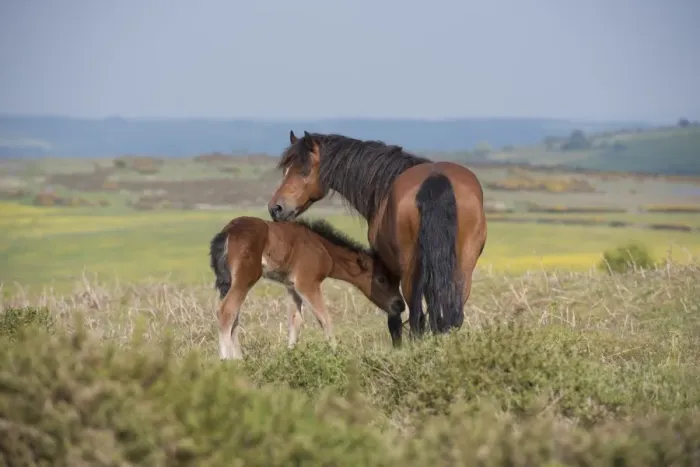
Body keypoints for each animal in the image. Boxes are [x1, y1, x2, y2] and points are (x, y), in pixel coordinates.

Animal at [209, 215, 405, 360]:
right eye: (381, 280)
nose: (400, 305)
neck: (322, 248)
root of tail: (227, 232)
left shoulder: (292, 286)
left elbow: (295, 321)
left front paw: (290, 356)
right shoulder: (307, 283)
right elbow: (325, 319)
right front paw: (336, 354)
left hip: (228, 282)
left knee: (233, 315)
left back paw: (238, 358)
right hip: (246, 277)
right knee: (226, 310)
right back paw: (227, 360)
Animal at [267, 131, 487, 347]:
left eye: (303, 172)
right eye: (285, 169)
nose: (275, 208)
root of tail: (436, 179)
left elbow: (394, 316)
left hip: (411, 270)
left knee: (416, 317)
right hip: (462, 268)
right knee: (452, 313)